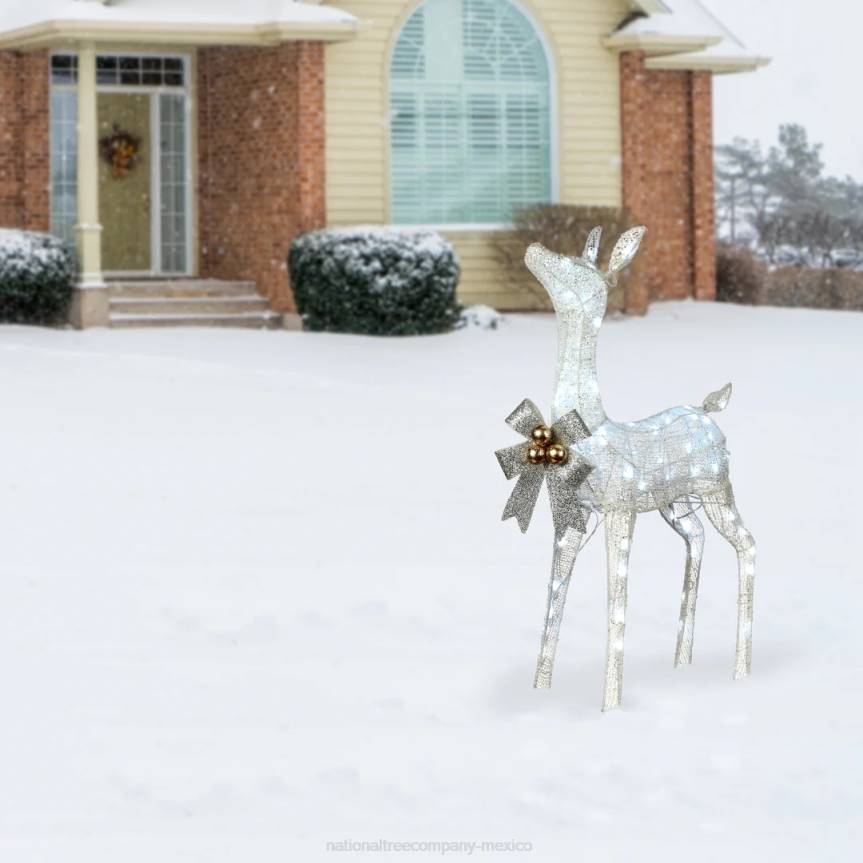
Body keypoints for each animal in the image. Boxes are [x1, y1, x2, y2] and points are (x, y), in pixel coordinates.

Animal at [520, 227, 756, 711]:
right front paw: (539, 694)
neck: (590, 430)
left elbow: (617, 603)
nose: (534, 249)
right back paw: (681, 664)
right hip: (676, 506)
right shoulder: (571, 517)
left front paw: (609, 705)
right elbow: (554, 599)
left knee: (748, 545)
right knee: (697, 540)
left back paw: (740, 671)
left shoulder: (620, 510)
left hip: (718, 491)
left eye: (577, 264)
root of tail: (709, 409)